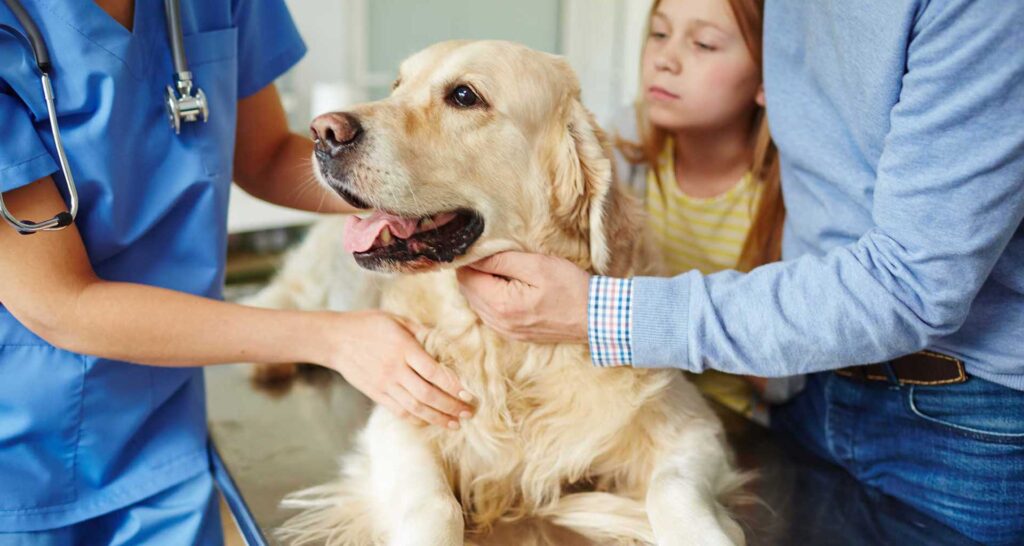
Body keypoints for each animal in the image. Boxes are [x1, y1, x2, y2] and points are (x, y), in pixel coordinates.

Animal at [244, 40, 749, 540]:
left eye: (465, 96)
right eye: (397, 84)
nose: (323, 131)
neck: (510, 352)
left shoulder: (692, 423)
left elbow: (673, 489)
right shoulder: (401, 415)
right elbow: (435, 505)